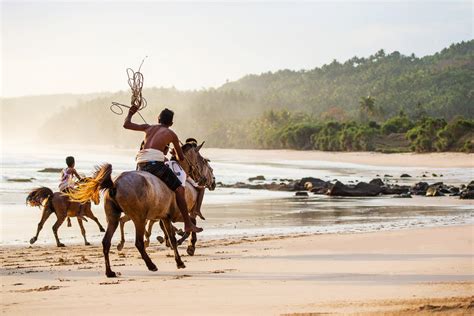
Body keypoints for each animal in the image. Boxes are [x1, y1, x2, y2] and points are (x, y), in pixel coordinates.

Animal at [67, 143, 215, 276]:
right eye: (203, 161)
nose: (208, 181)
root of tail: (115, 184)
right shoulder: (175, 215)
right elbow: (187, 226)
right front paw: (188, 247)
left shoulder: (165, 217)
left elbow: (172, 237)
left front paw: (179, 260)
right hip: (139, 219)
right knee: (138, 242)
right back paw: (151, 265)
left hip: (113, 218)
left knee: (106, 242)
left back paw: (110, 271)